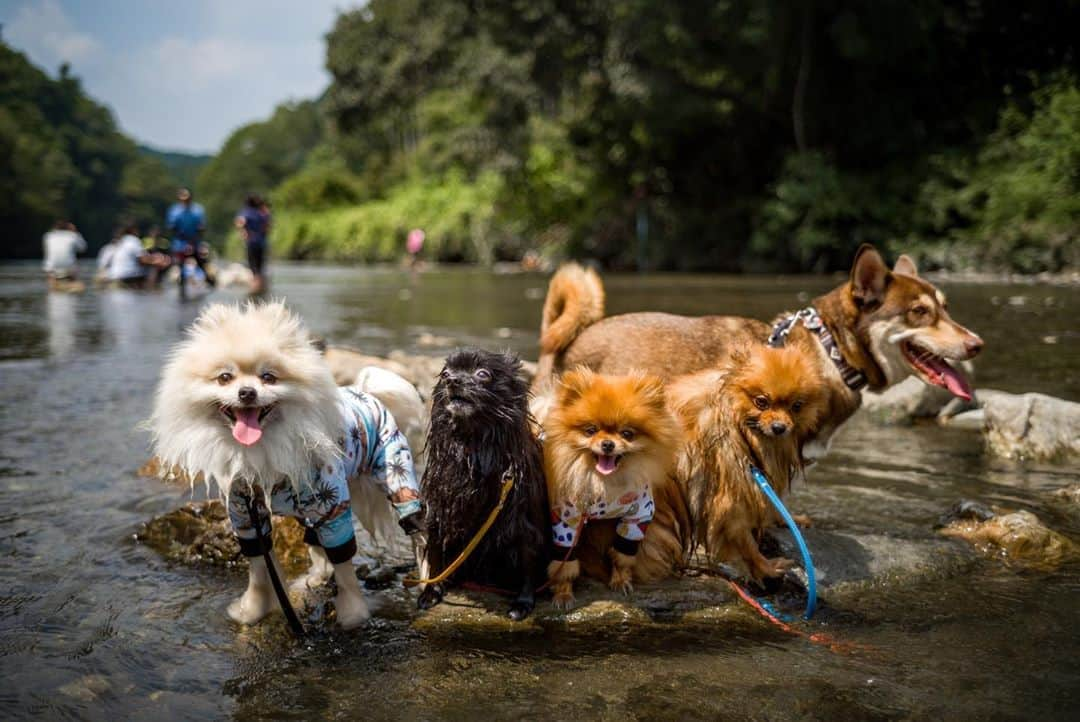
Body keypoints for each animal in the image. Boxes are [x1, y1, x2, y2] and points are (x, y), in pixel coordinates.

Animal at [153, 302, 429, 625]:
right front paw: (252, 610)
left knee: (417, 532)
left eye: (268, 377)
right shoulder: (246, 512)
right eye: (224, 378)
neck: (261, 450)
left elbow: (345, 565)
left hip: (395, 475)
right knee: (315, 541)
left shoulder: (330, 504)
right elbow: (260, 570)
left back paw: (426, 579)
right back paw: (315, 576)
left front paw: (353, 614)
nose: (247, 392)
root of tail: (368, 393)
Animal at [412, 345, 548, 617]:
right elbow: (435, 554)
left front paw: (523, 602)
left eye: (482, 374)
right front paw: (431, 591)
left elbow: (528, 559)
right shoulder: (440, 509)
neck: (473, 443)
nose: (453, 380)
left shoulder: (523, 517)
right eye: (445, 374)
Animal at [540, 366, 682, 608]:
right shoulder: (567, 521)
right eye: (590, 430)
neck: (603, 483)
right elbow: (564, 563)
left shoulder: (637, 517)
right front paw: (563, 593)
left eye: (627, 433)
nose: (607, 444)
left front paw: (621, 581)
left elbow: (622, 557)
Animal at [665, 341, 825, 582]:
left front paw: (787, 518)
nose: (780, 427)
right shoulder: (728, 496)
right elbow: (745, 541)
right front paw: (765, 567)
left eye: (796, 406)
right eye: (761, 402)